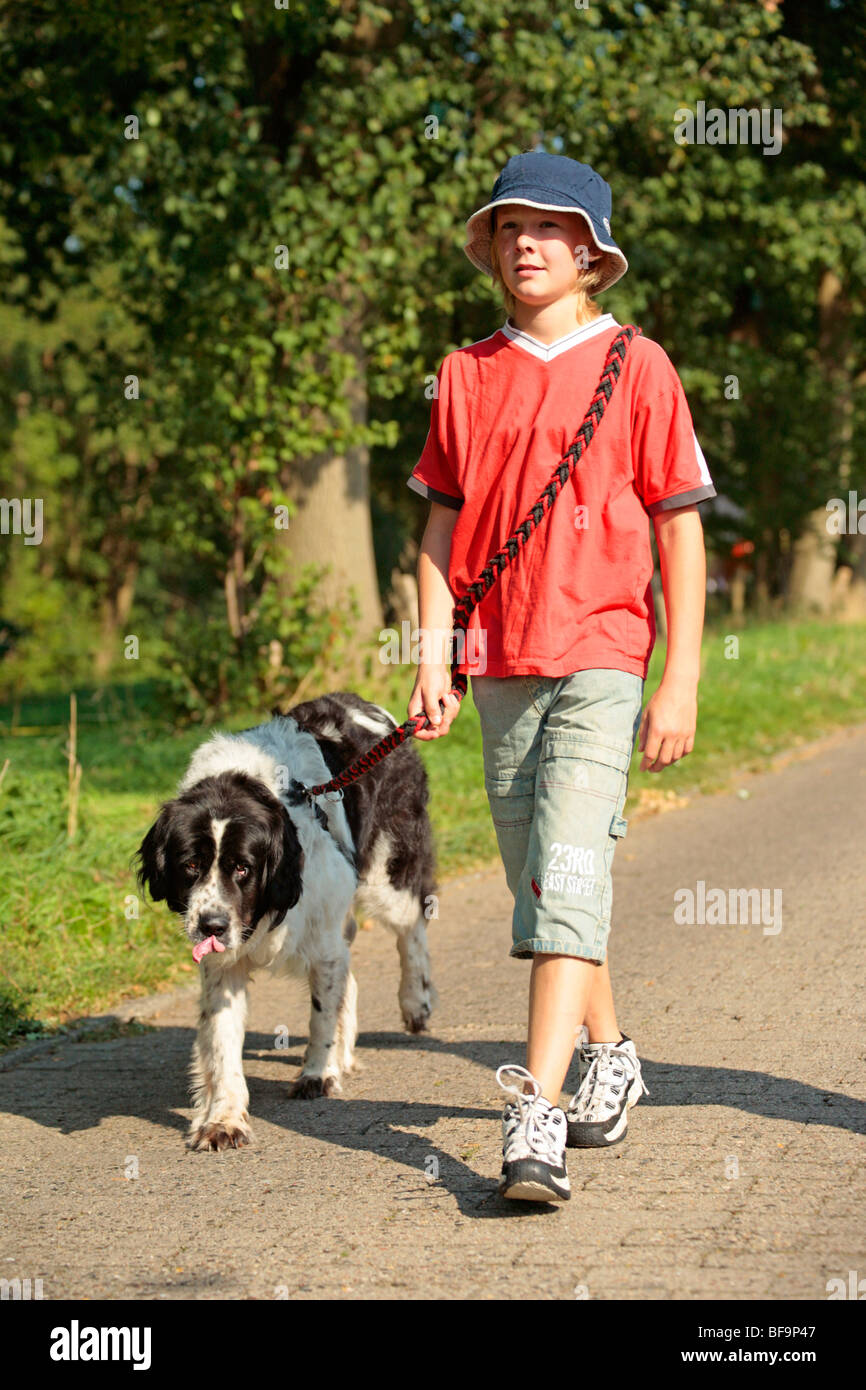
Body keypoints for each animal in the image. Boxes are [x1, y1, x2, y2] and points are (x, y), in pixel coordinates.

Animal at [138, 692, 436, 1150]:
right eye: (190, 866)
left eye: (242, 868)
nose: (211, 926)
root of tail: (364, 705)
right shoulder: (223, 963)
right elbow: (223, 1040)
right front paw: (223, 1118)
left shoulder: (323, 933)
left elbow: (321, 1012)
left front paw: (318, 1073)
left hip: (386, 875)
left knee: (411, 925)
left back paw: (414, 1001)